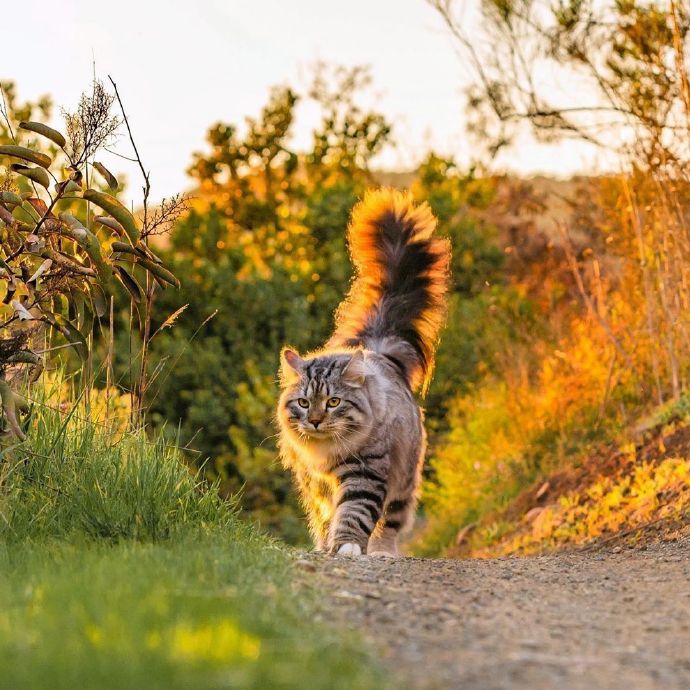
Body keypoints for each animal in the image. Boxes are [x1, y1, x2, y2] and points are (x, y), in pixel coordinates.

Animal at [276, 187, 448, 552]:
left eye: (334, 402)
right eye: (303, 403)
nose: (315, 421)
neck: (325, 453)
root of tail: (378, 348)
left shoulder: (365, 471)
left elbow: (355, 512)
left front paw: (347, 547)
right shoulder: (314, 484)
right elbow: (326, 518)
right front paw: (327, 545)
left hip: (405, 476)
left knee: (393, 520)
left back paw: (383, 552)